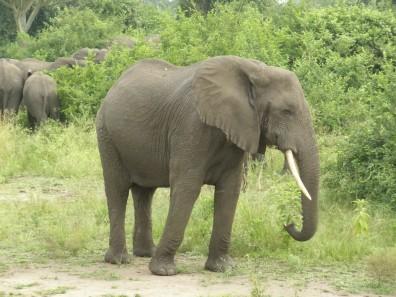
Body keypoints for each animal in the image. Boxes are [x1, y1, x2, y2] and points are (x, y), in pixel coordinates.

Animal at [96, 55, 322, 276]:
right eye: (287, 111)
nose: (289, 223)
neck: (256, 71)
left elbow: (230, 191)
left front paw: (222, 268)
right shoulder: (191, 126)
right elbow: (187, 188)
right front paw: (164, 271)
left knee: (144, 193)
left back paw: (145, 253)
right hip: (107, 134)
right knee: (118, 189)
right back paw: (119, 260)